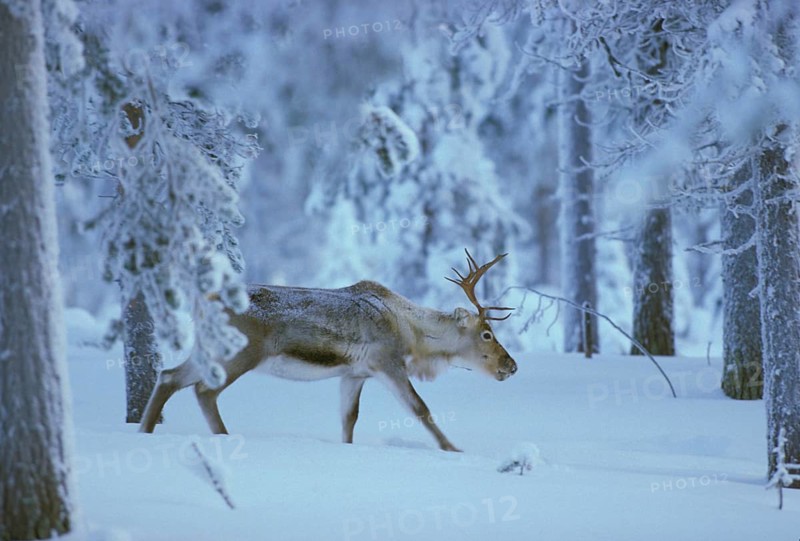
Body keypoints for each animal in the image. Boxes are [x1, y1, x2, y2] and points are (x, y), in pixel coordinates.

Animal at [139, 250, 517, 452]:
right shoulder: (388, 364)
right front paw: (453, 448)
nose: (512, 365)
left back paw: (144, 431)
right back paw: (225, 436)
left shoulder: (354, 374)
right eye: (487, 334)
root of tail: (202, 302)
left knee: (169, 376)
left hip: (205, 349)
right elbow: (420, 409)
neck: (412, 336)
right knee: (204, 390)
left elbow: (348, 418)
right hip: (239, 353)